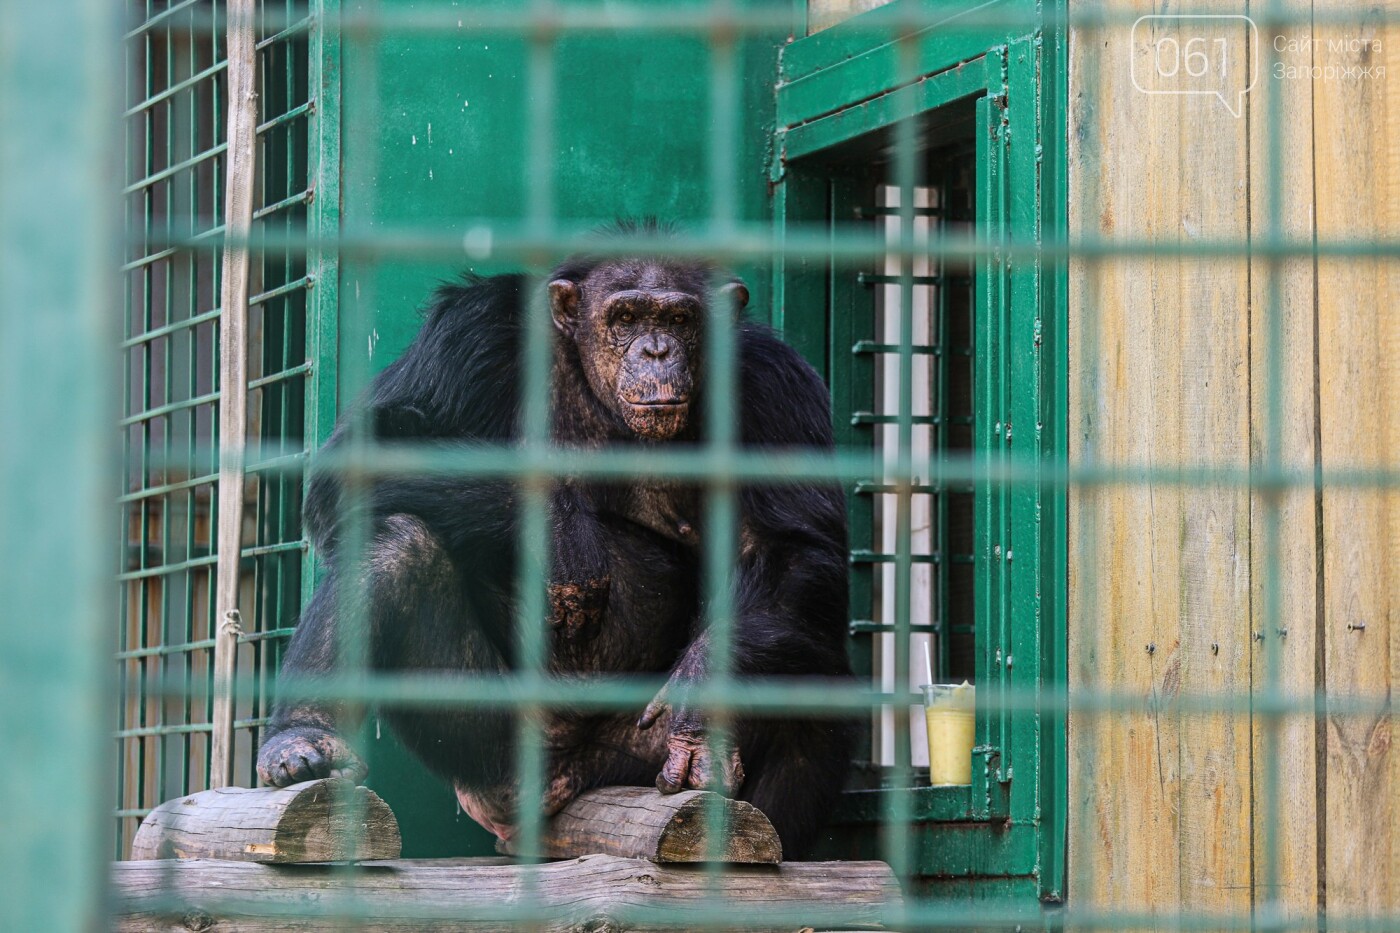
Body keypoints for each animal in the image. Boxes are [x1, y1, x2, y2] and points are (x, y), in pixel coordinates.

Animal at [259, 232, 856, 857]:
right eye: (626, 317)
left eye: (680, 318)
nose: (657, 351)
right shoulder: (473, 329)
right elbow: (371, 446)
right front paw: (562, 528)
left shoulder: (775, 384)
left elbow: (795, 545)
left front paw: (703, 700)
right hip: (492, 744)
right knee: (395, 542)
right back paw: (302, 740)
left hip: (628, 757)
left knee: (812, 664)